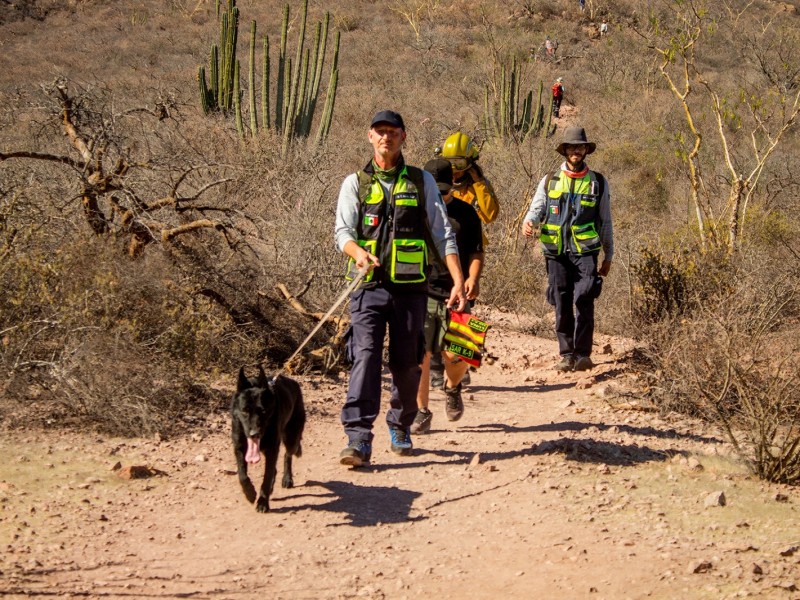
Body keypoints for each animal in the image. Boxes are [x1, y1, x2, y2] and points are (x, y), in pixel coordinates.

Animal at [233, 366, 308, 510]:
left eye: (263, 411)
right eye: (245, 410)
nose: (254, 434)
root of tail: (293, 383)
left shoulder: (272, 449)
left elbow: (266, 477)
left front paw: (263, 502)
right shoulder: (239, 447)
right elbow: (242, 475)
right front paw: (250, 493)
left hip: (291, 439)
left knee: (287, 455)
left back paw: (287, 479)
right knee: (276, 467)